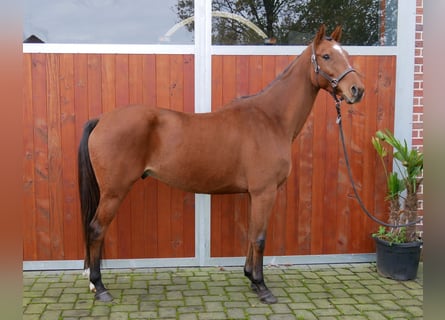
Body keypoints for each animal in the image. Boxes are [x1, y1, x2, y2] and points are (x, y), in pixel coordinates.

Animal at [79, 25, 364, 302]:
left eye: (347, 53)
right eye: (326, 56)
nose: (357, 90)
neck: (271, 119)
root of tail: (101, 119)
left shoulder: (253, 194)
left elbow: (251, 234)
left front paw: (251, 278)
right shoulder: (265, 192)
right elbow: (260, 238)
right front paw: (262, 287)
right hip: (114, 192)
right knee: (96, 230)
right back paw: (99, 287)